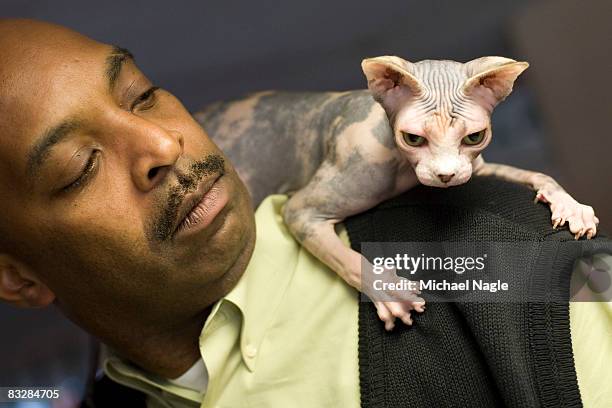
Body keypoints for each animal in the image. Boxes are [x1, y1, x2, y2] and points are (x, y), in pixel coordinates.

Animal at [195, 55, 596, 330]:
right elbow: (344, 256)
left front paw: (570, 205)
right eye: (413, 138)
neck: (405, 169)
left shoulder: (476, 168)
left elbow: (538, 174)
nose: (446, 176)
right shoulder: (304, 206)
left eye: (474, 137)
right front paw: (388, 292)